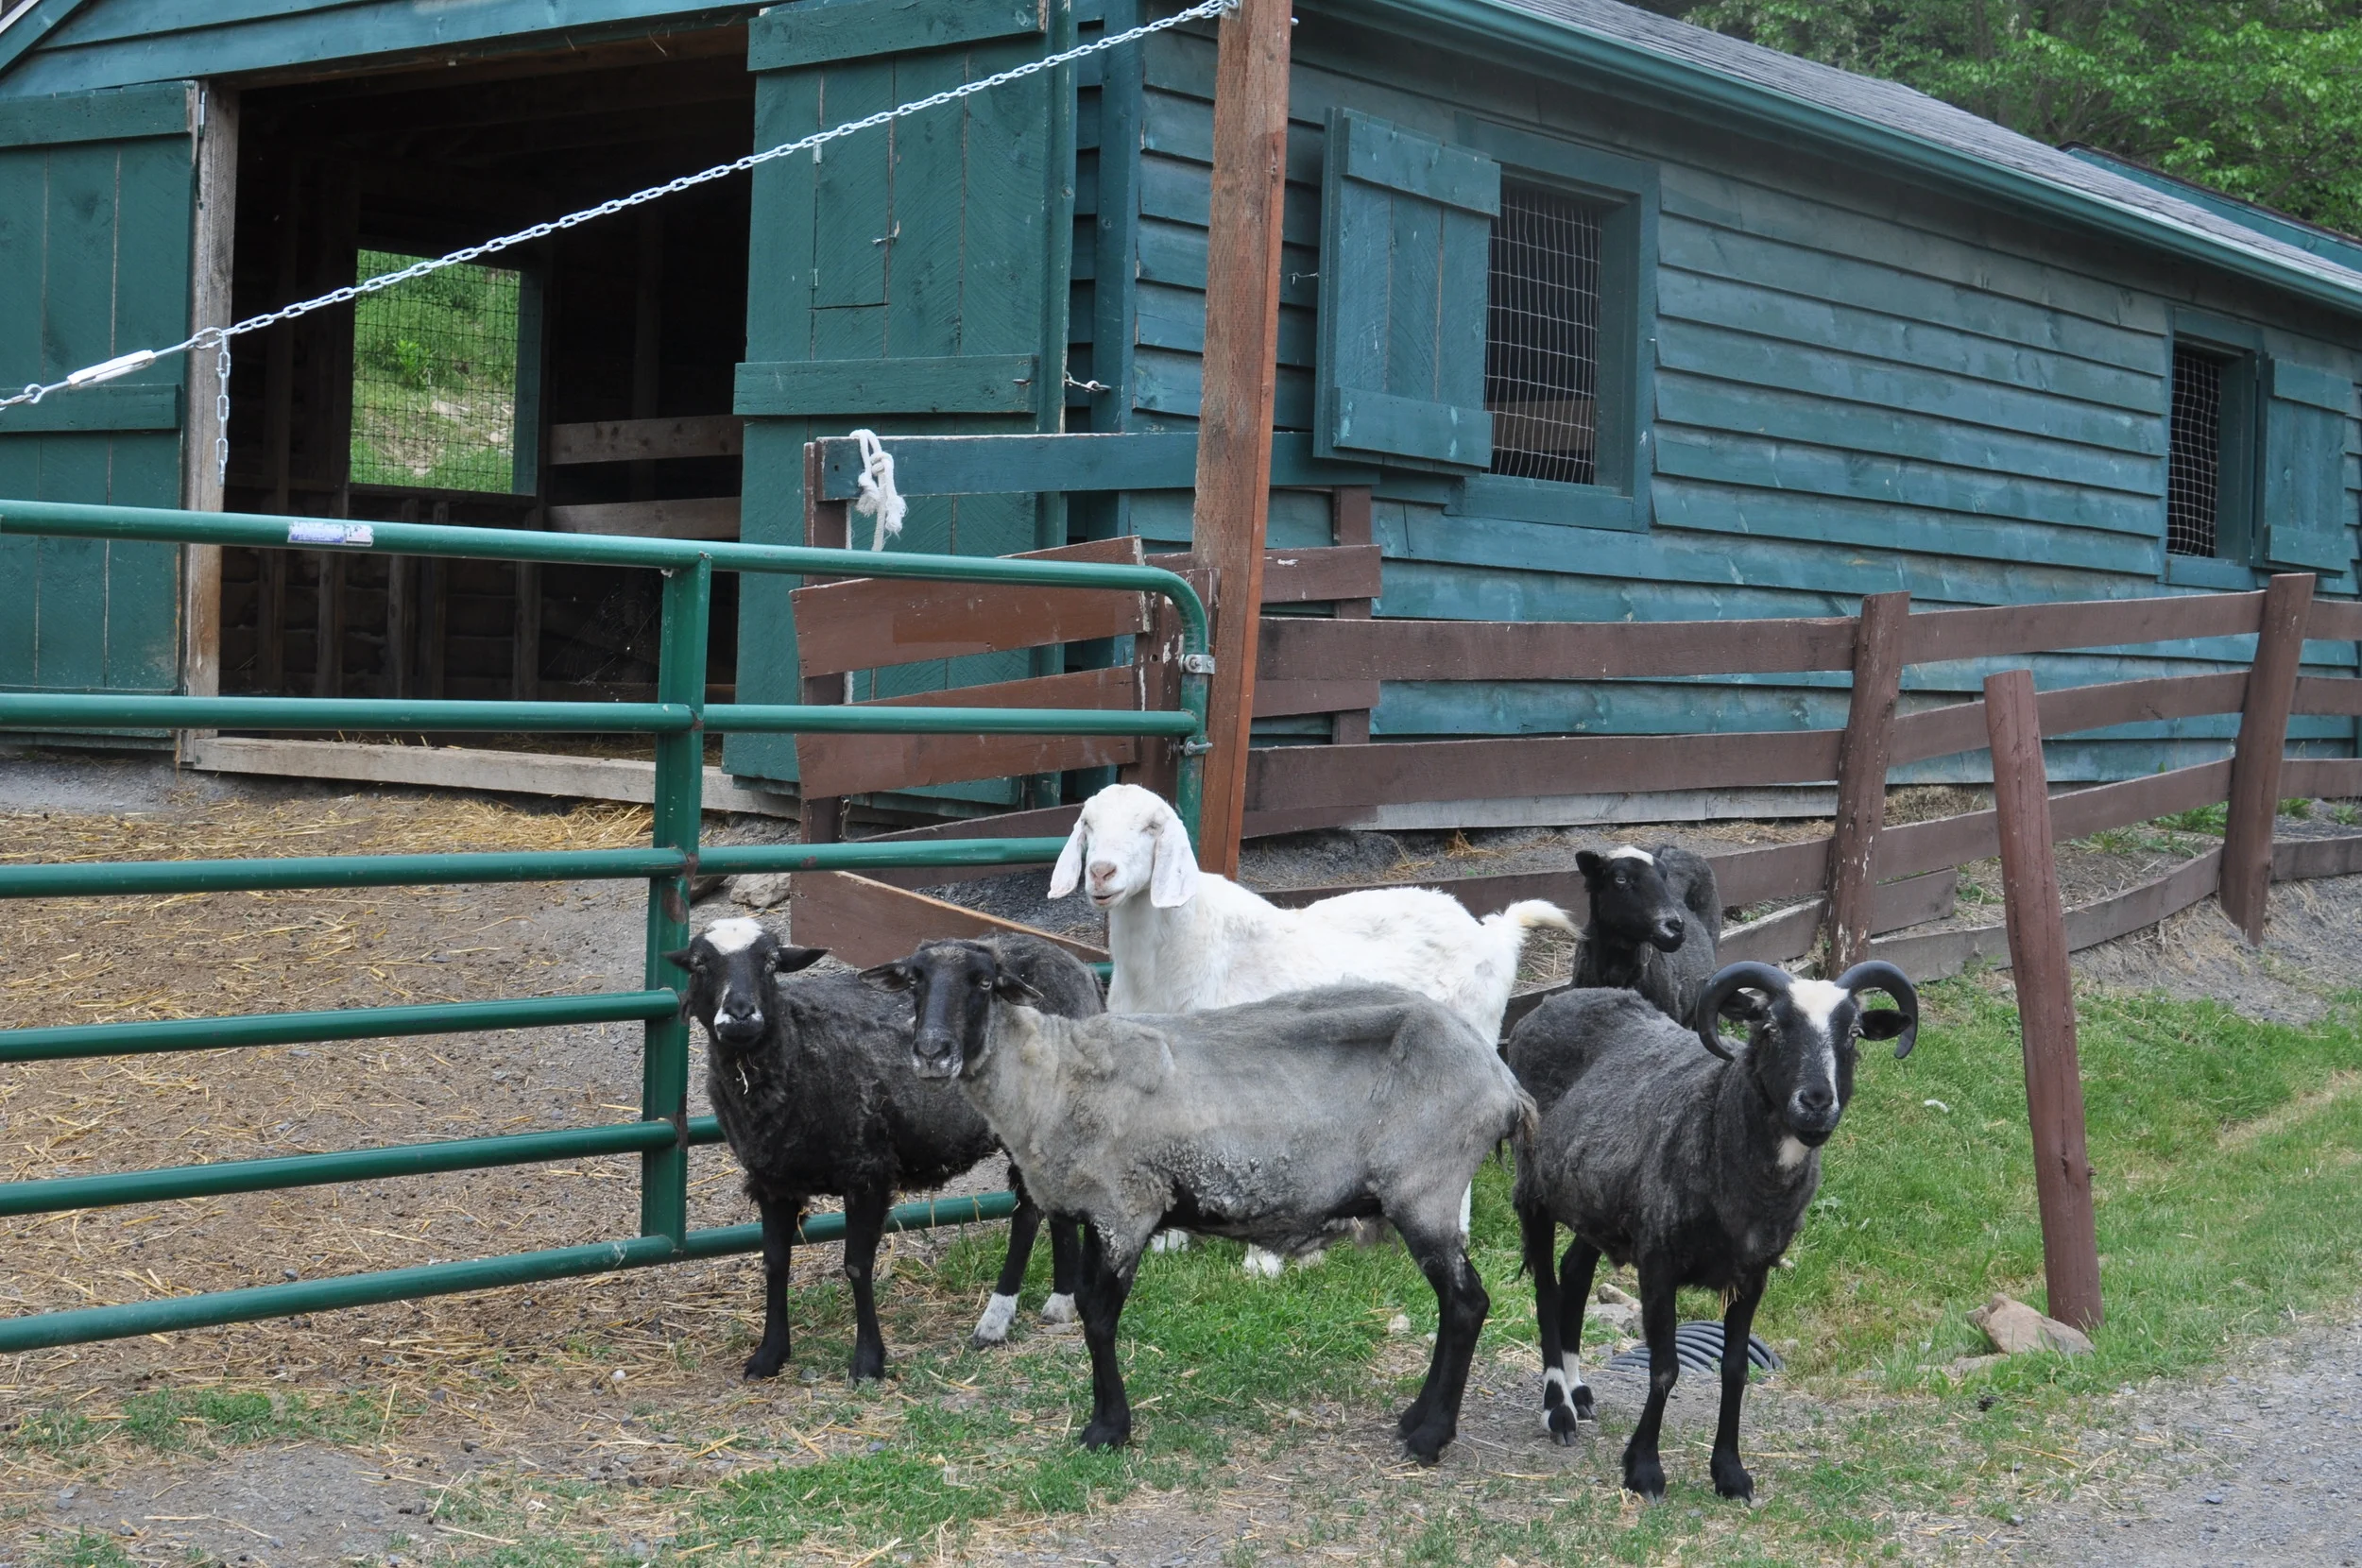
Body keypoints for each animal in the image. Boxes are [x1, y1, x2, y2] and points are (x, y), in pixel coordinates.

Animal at [666, 917, 1100, 1382]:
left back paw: (998, 1319)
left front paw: (867, 1361)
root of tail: (1076, 962)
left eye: (770, 963)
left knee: (1028, 1214)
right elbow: (775, 1261)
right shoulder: (771, 1180)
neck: (796, 1053)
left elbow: (857, 1265)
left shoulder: (867, 1171)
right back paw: (1061, 1301)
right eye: (699, 964)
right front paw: (769, 1356)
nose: (741, 1014)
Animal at [862, 939, 1535, 1466]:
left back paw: (1429, 1437)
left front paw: (1108, 1428)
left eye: (983, 981)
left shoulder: (1127, 1208)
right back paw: (1414, 1419)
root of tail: (1504, 1082)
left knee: (1467, 1304)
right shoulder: (1095, 1212)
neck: (1053, 1077)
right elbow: (1087, 1308)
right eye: (915, 979)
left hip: (1426, 1188)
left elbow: (1099, 1318)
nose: (932, 1052)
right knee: (1455, 1305)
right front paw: (1105, 1419)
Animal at [1048, 782, 1575, 1274]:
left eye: (1152, 827)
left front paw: (1262, 1261)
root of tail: (1493, 934)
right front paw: (1168, 1241)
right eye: (1088, 824)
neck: (1177, 952)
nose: (1102, 873)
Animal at [1507, 959, 1918, 1501]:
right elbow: (1664, 1368)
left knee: (1574, 1274)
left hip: (1597, 1202)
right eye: (1769, 1028)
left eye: (1852, 1034)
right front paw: (1644, 1471)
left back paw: (1579, 1393)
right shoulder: (1658, 1260)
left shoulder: (1754, 1272)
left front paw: (1730, 1473)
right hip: (1533, 1186)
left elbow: (1735, 1370)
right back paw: (1558, 1409)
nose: (1816, 1102)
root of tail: (1553, 1002)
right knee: (1546, 1287)